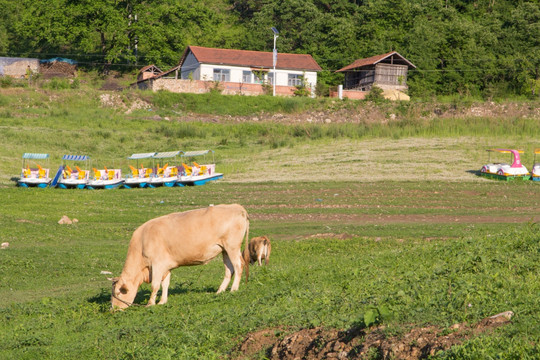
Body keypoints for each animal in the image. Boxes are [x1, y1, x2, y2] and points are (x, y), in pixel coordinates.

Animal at [113, 204, 251, 310]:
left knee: (238, 266)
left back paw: (234, 289)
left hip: (232, 247)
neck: (142, 241)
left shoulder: (157, 264)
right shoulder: (166, 267)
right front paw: (162, 301)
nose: (113, 310)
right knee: (229, 270)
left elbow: (155, 285)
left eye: (118, 293)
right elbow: (165, 284)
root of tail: (236, 206)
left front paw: (150, 304)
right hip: (225, 250)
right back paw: (220, 291)